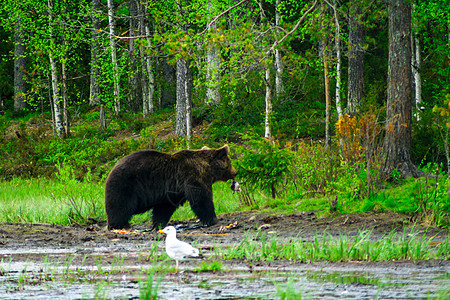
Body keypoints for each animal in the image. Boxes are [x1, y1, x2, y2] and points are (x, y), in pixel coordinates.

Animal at [104, 145, 237, 230]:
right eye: (230, 162)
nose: (235, 172)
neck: (208, 169)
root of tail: (111, 169)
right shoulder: (193, 177)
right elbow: (201, 199)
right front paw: (212, 219)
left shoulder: (171, 192)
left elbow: (164, 208)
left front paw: (158, 224)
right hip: (125, 185)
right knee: (120, 206)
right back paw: (119, 225)